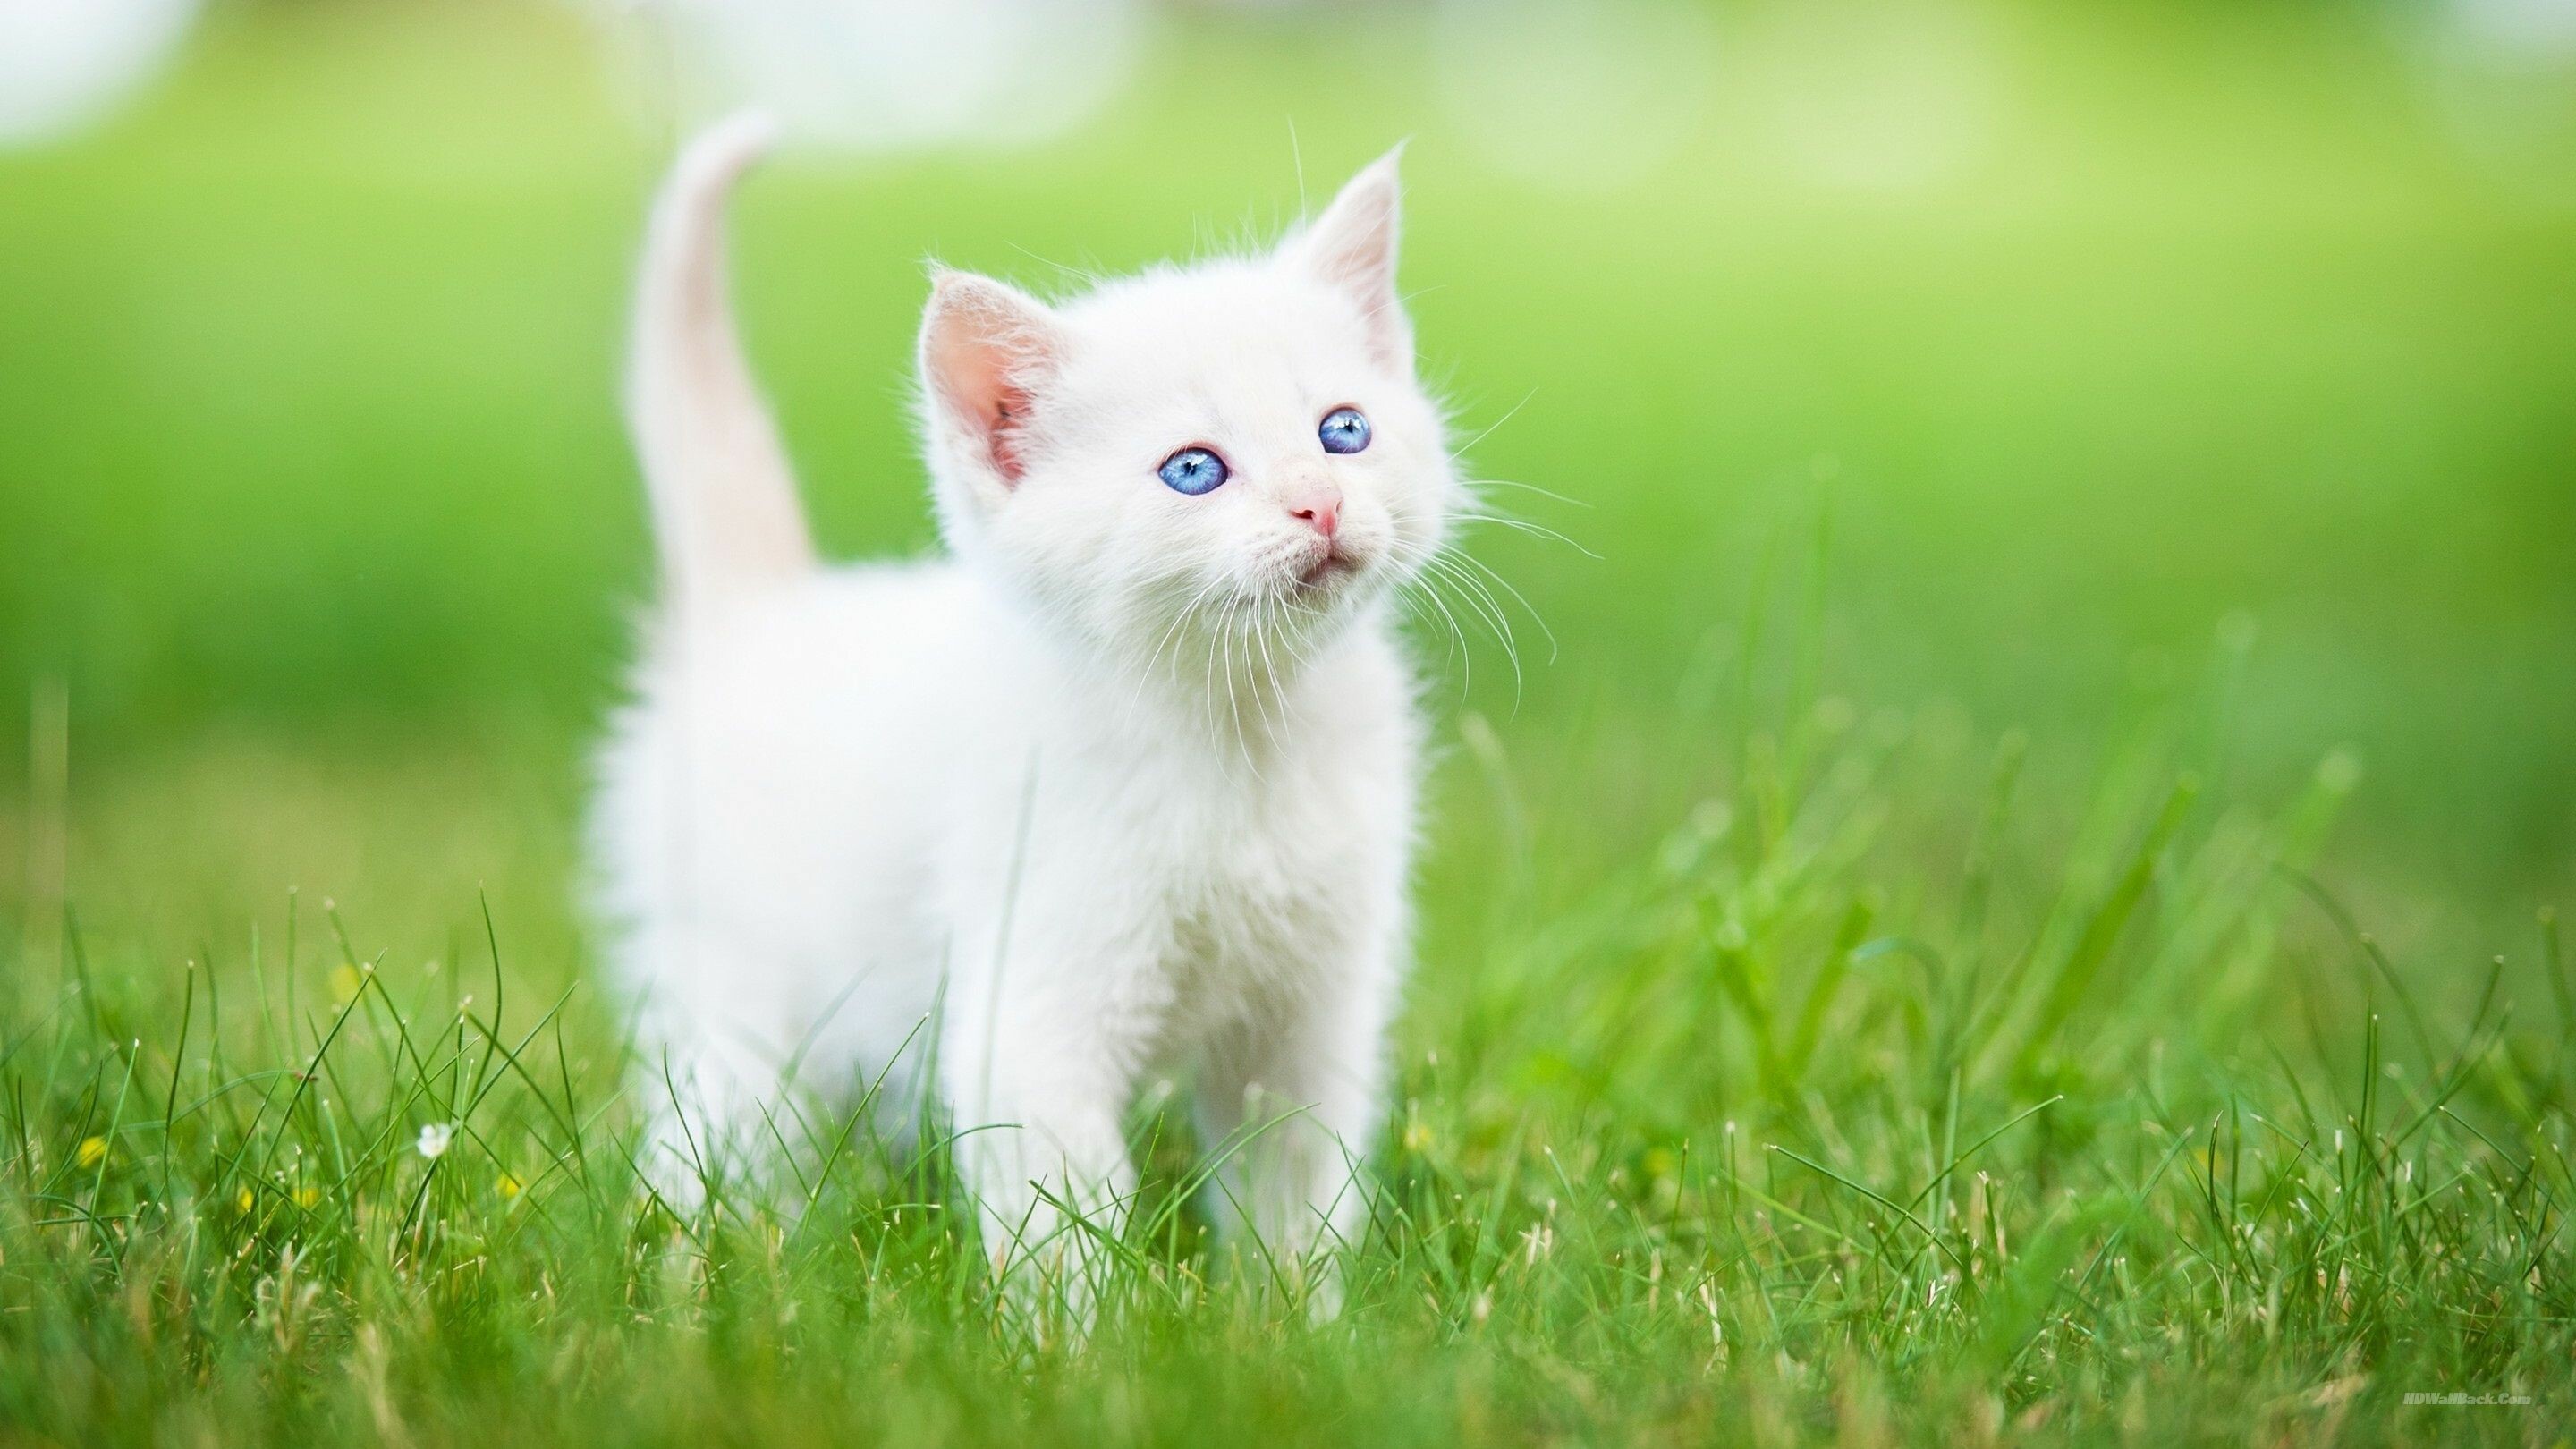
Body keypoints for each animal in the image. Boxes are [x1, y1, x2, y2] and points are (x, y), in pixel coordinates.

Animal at [589, 113, 1462, 1309]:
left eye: (1343, 432)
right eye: (1195, 471)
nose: (1320, 502)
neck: (1241, 740)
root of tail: (763, 613)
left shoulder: (1309, 1014)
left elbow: (1296, 1185)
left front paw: (1293, 1321)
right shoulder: (1032, 1011)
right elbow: (1064, 1220)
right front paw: (1087, 1338)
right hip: (735, 989)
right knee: (718, 1134)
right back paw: (710, 1266)